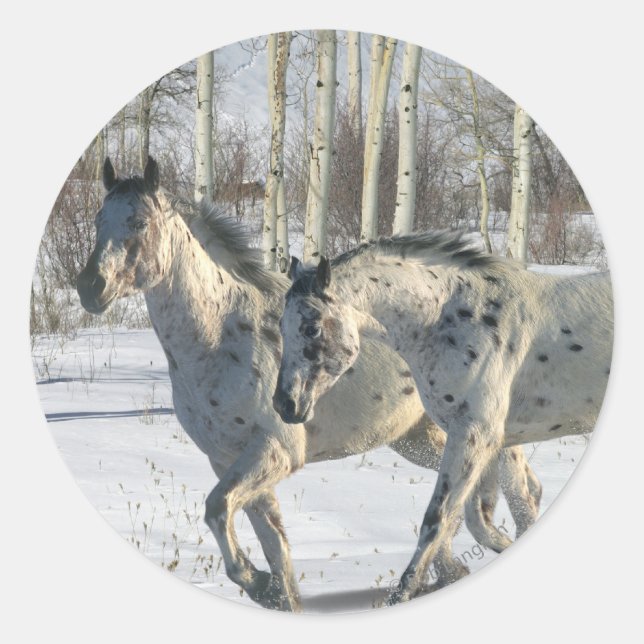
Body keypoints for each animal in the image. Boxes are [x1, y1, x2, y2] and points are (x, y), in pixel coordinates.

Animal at [76, 157, 542, 610]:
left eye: (139, 222)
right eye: (99, 219)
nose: (90, 287)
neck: (219, 339)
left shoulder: (275, 451)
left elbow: (217, 508)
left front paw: (258, 584)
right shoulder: (227, 459)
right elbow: (272, 547)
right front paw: (269, 590)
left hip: (477, 432)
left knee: (519, 487)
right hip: (420, 438)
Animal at [273, 231, 612, 604]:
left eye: (312, 328)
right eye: (281, 326)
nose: (284, 404)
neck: (452, 319)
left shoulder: (475, 435)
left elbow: (439, 518)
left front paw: (403, 594)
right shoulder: (489, 440)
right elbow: (485, 513)